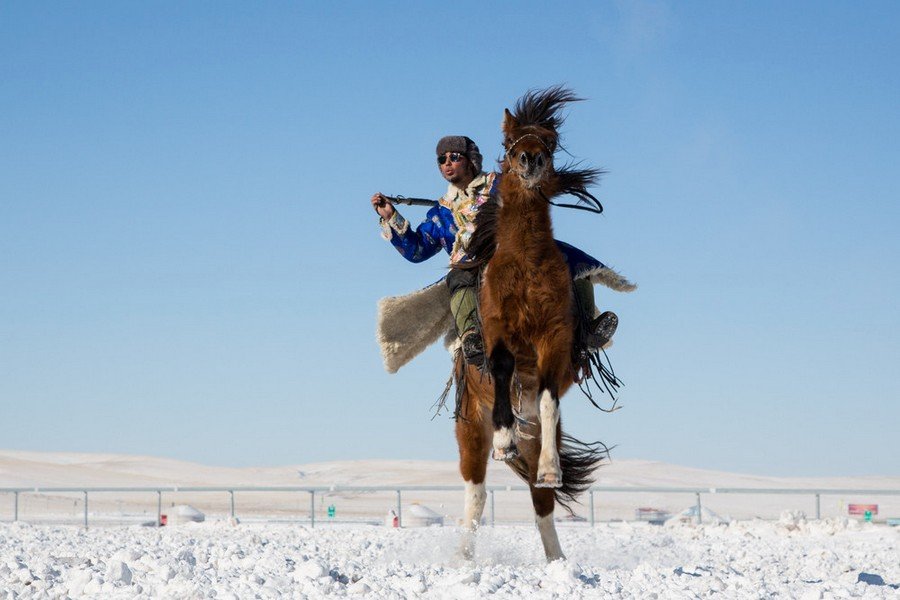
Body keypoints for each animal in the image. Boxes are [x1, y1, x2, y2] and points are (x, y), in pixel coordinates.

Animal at [454, 86, 608, 560]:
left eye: (551, 143)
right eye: (509, 144)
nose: (530, 159)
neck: (525, 264)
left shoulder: (554, 337)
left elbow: (546, 396)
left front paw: (551, 470)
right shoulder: (499, 331)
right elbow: (503, 369)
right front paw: (504, 439)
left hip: (536, 434)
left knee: (542, 503)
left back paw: (558, 561)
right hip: (469, 430)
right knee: (475, 494)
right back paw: (462, 557)